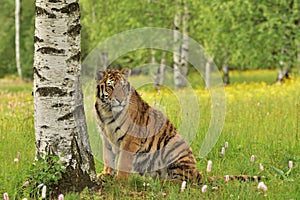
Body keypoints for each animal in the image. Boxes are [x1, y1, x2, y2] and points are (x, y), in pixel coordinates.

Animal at [94, 68, 262, 184]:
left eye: (123, 87)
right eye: (110, 87)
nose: (120, 100)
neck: (107, 112)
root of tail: (197, 172)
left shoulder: (131, 139)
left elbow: (123, 161)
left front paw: (119, 180)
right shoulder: (105, 137)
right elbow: (108, 157)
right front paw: (106, 174)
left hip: (173, 147)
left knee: (182, 180)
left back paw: (159, 183)